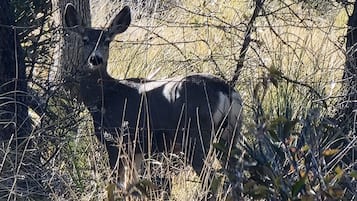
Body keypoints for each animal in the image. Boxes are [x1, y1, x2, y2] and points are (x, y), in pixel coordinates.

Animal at [63, 2, 242, 198]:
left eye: (107, 41)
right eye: (85, 40)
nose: (96, 59)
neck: (104, 97)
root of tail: (226, 91)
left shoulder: (115, 140)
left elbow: (115, 186)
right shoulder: (136, 149)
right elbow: (130, 186)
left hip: (196, 135)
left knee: (211, 181)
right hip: (231, 134)